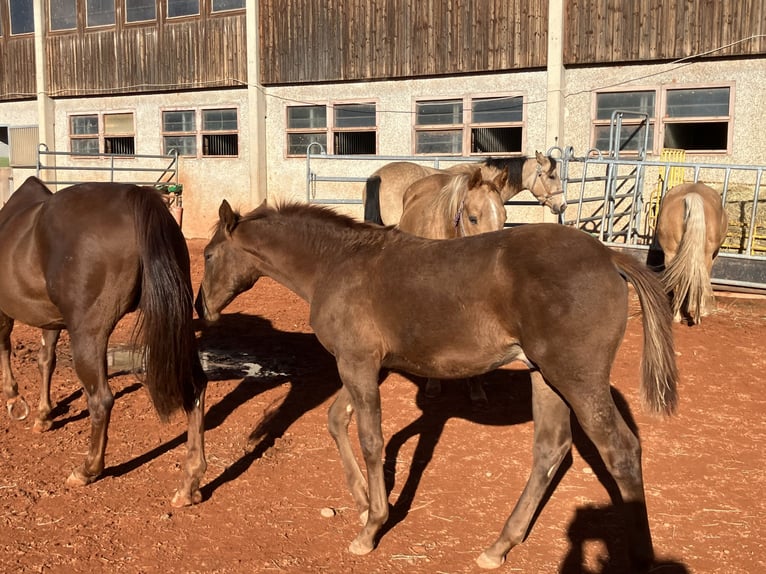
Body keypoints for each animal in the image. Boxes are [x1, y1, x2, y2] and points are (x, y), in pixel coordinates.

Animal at [0, 176, 207, 507]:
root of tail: (134, 197)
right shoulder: (52, 320)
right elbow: (46, 360)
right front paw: (44, 415)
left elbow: (6, 347)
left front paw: (13, 398)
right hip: (180, 323)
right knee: (196, 387)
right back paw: (189, 483)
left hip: (89, 334)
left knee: (100, 400)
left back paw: (87, 470)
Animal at [195, 200, 678, 570]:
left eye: (208, 255)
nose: (202, 309)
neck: (337, 264)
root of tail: (608, 257)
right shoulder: (368, 365)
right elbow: (336, 420)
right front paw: (362, 499)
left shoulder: (357, 363)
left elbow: (372, 439)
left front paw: (372, 526)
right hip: (546, 378)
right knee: (551, 450)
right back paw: (499, 546)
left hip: (576, 378)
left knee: (620, 450)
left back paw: (641, 558)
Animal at [655, 182, 729, 325]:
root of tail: (692, 195)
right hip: (705, 256)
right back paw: (700, 313)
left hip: (671, 254)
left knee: (677, 281)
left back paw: (676, 316)